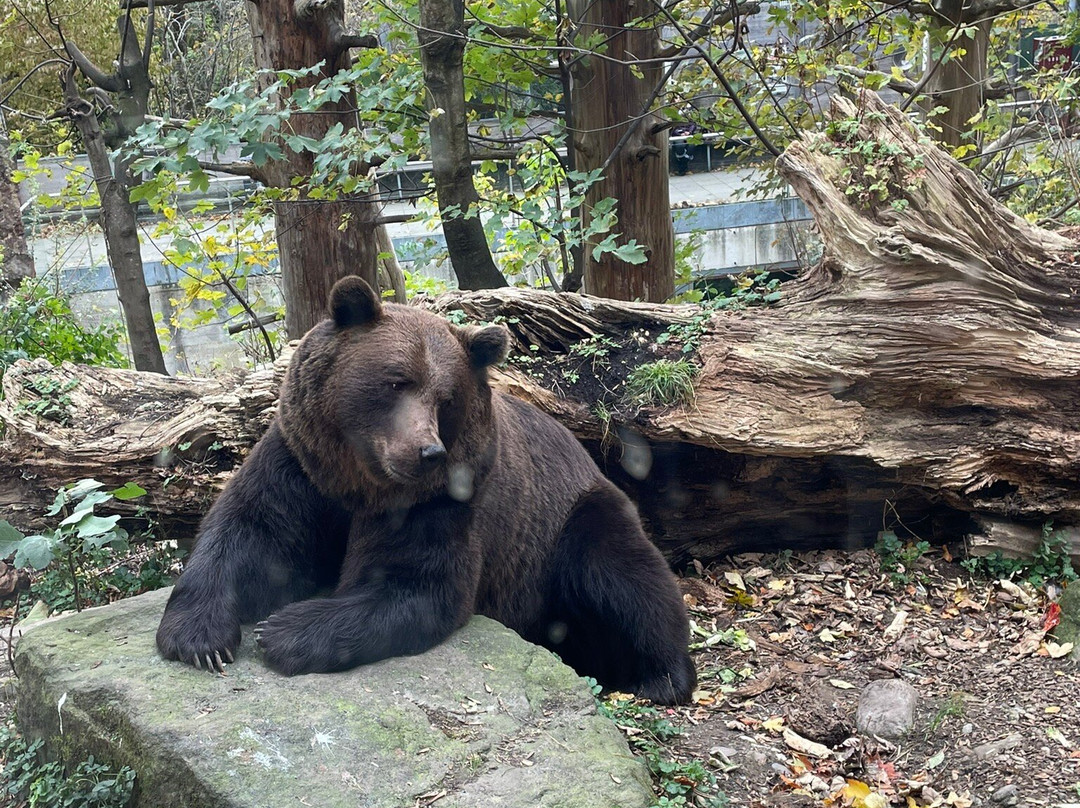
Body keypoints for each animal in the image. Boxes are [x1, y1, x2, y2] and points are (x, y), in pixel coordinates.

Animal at [156, 276, 695, 699]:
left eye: (447, 397)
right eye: (397, 381)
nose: (426, 451)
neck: (361, 483)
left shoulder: (445, 498)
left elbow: (418, 584)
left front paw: (284, 630)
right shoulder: (302, 466)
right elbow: (251, 532)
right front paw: (199, 638)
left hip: (568, 519)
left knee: (623, 575)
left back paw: (662, 677)